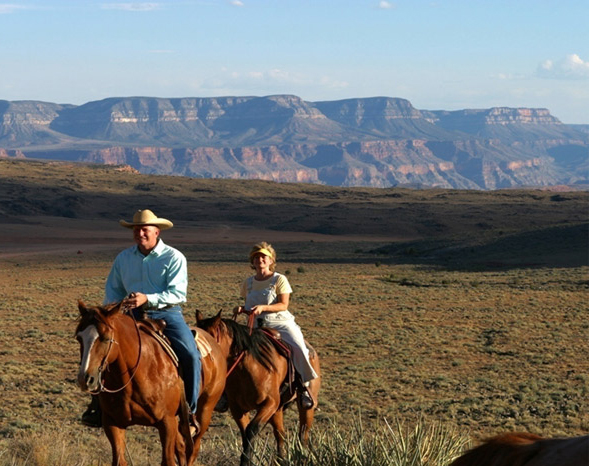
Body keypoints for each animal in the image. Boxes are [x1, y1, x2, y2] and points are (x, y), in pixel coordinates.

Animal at [74, 300, 226, 464]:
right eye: (79, 338)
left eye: (105, 337)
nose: (85, 379)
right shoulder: (112, 423)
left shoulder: (167, 423)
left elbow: (168, 461)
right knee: (180, 447)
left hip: (205, 411)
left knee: (192, 450)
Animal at [195, 310, 320, 466]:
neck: (249, 369)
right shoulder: (238, 409)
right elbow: (245, 434)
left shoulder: (269, 404)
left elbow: (251, 430)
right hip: (278, 409)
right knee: (280, 434)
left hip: (304, 407)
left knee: (303, 435)